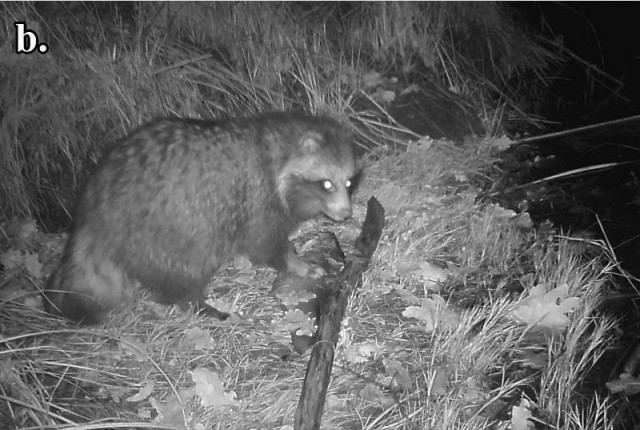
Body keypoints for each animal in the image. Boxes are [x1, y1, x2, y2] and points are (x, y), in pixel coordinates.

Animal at [46, 113, 360, 322]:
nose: (346, 214)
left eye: (348, 182)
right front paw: (298, 265)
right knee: (182, 271)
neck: (279, 148)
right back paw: (195, 303)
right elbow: (267, 244)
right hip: (164, 230)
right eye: (326, 184)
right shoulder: (258, 196)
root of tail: (93, 207)